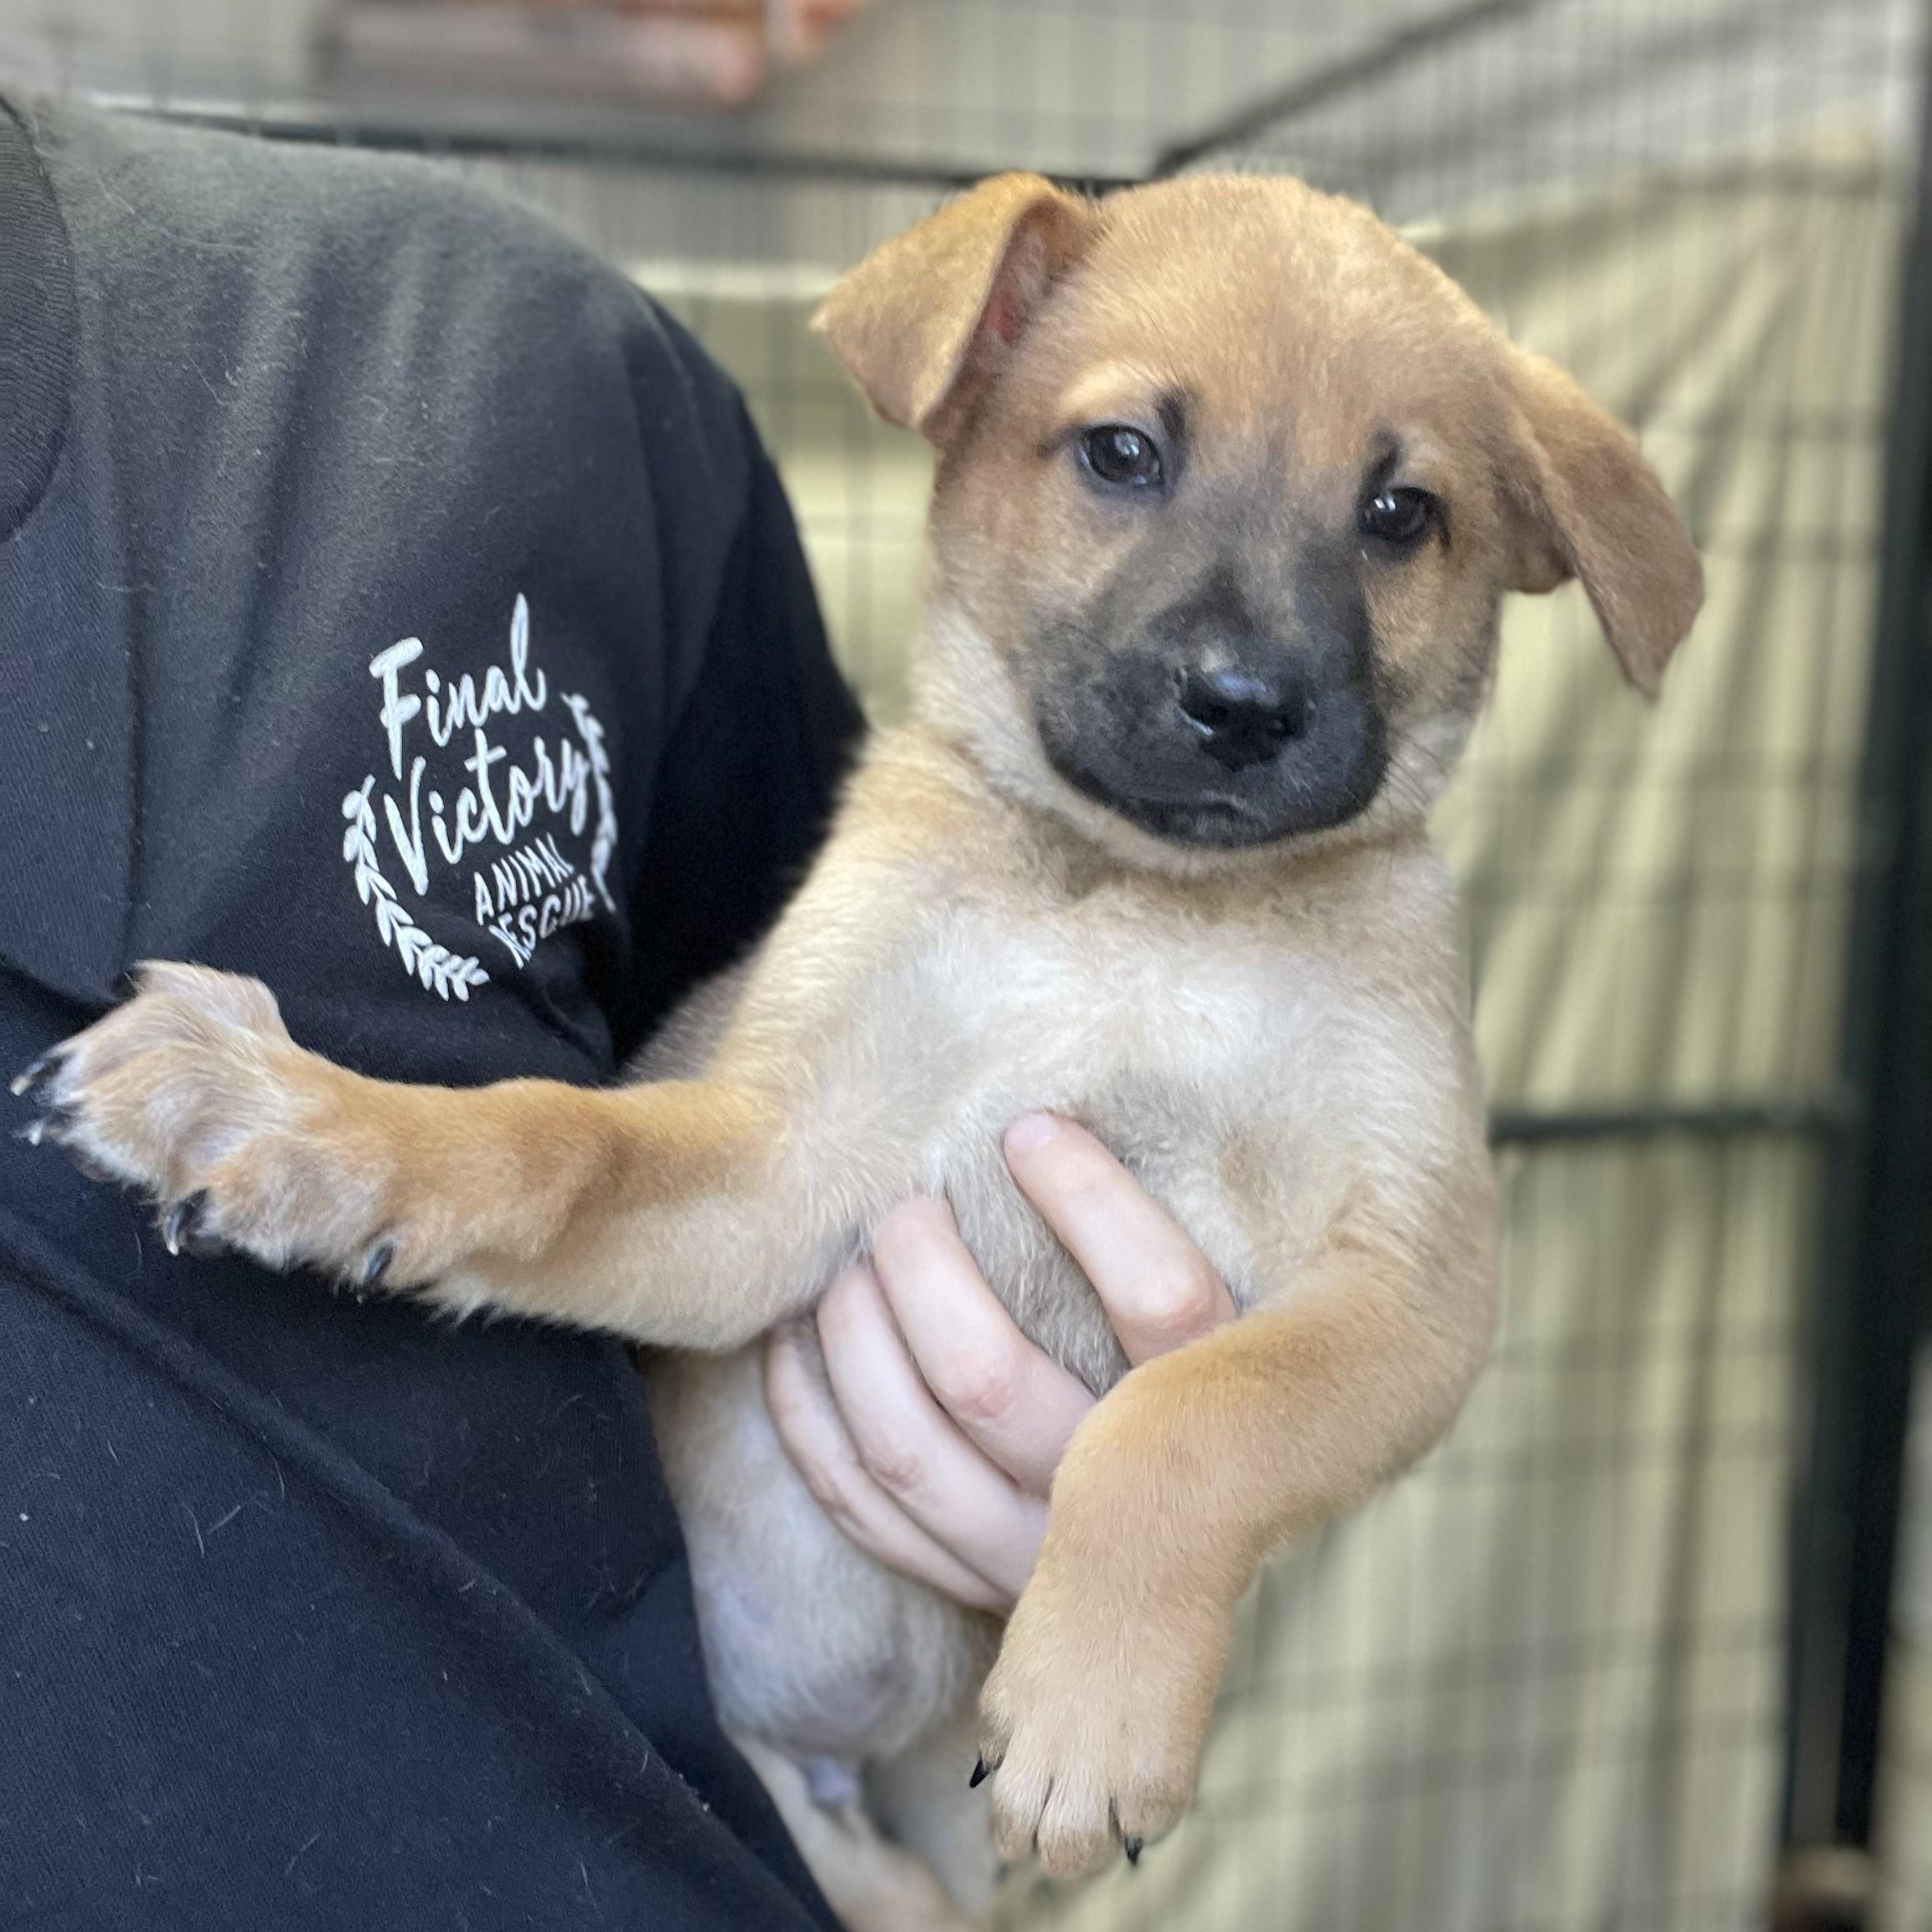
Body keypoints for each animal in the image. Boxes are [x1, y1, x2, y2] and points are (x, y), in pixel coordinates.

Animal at [20, 171, 1701, 1927]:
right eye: (1122, 453)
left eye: (1401, 515)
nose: (1244, 707)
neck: (1135, 911)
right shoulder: (773, 1178)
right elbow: (545, 1138)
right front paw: (287, 1112)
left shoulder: (1411, 1285)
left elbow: (1189, 1417)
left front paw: (1093, 1709)